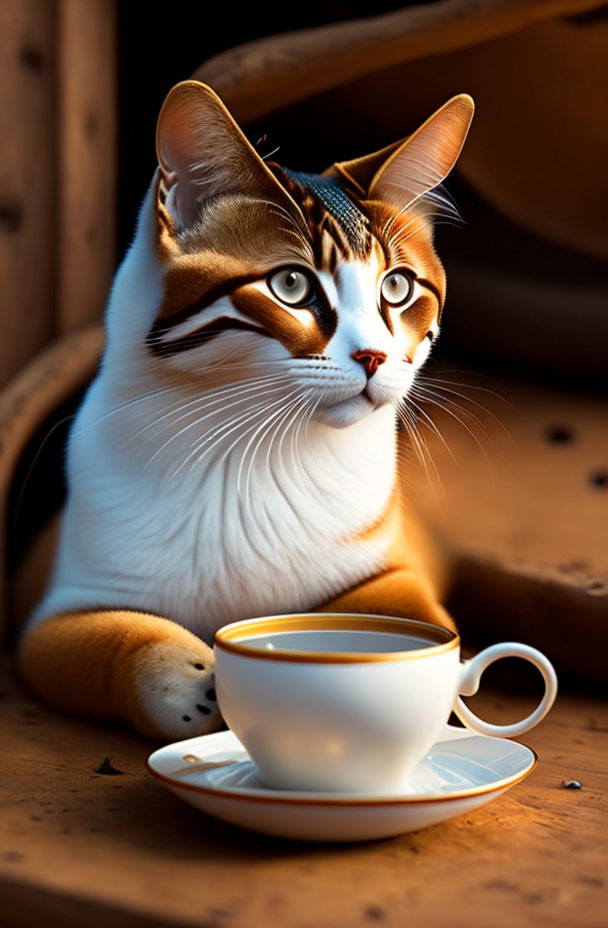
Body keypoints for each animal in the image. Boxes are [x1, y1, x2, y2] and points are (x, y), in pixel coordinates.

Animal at [15, 81, 476, 740]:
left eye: (397, 287)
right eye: (291, 286)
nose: (375, 357)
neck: (250, 449)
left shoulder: (391, 564)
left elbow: (407, 619)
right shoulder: (55, 615)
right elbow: (119, 638)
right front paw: (195, 681)